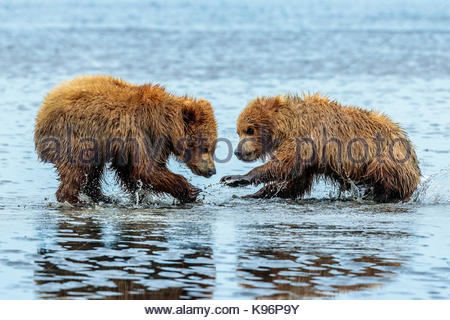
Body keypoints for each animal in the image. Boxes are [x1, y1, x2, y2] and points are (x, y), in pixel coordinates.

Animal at [34, 76, 217, 204]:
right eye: (206, 147)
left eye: (213, 148)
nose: (212, 171)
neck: (166, 125)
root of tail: (43, 112)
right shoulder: (142, 132)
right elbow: (147, 169)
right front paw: (191, 190)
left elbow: (130, 171)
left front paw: (141, 194)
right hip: (75, 137)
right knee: (77, 168)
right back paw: (73, 199)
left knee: (93, 169)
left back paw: (103, 197)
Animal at [221, 93, 422, 202]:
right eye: (238, 131)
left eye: (250, 129)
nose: (238, 152)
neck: (286, 125)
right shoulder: (310, 156)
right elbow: (295, 182)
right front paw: (250, 193)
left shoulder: (306, 137)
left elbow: (284, 164)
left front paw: (238, 178)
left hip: (388, 155)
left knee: (384, 172)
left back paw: (380, 194)